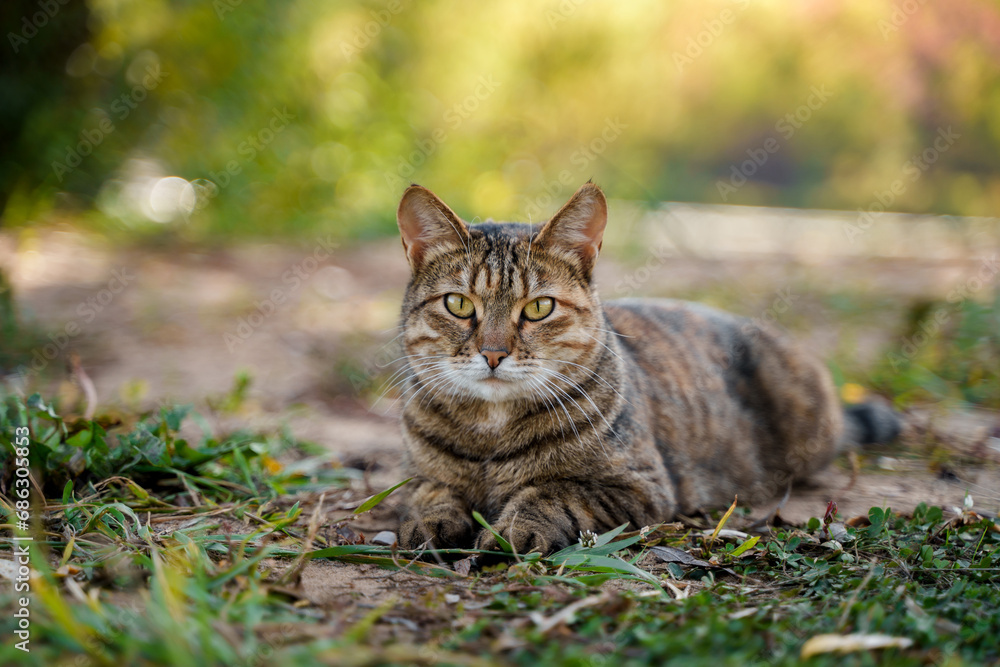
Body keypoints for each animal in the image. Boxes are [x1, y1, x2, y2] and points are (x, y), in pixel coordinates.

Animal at [390, 180, 900, 556]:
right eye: (458, 304)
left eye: (538, 308)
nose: (493, 353)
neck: (491, 438)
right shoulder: (421, 476)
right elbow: (431, 493)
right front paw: (431, 521)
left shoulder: (639, 489)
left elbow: (552, 492)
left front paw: (512, 526)